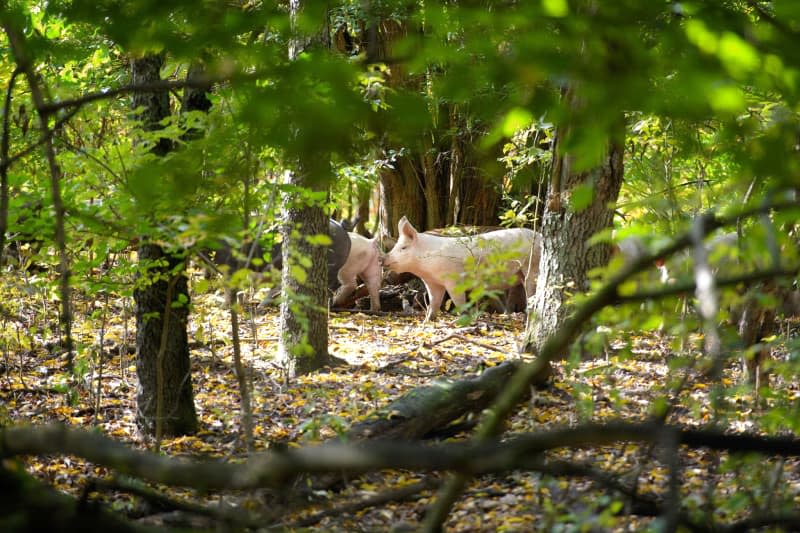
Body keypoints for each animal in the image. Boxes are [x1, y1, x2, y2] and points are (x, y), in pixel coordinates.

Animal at [382, 216, 544, 320]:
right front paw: (427, 321)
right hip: (519, 274)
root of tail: (541, 237)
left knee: (531, 292)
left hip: (533, 267)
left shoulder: (454, 280)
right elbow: (434, 302)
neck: (427, 269)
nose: (383, 259)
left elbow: (458, 302)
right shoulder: (433, 283)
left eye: (403, 248)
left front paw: (461, 320)